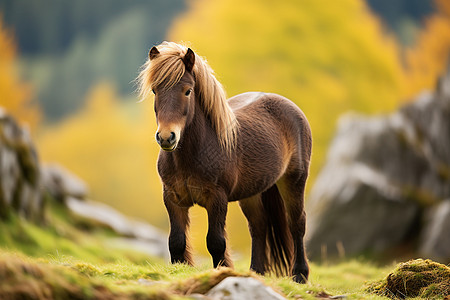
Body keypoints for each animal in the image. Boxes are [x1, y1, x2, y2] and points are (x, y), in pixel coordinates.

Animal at [137, 42, 312, 284]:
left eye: (188, 91)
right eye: (155, 90)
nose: (166, 137)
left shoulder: (217, 199)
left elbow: (216, 242)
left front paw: (222, 272)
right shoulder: (172, 198)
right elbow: (176, 241)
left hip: (294, 181)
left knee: (297, 223)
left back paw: (300, 275)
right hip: (252, 193)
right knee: (258, 226)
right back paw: (256, 272)